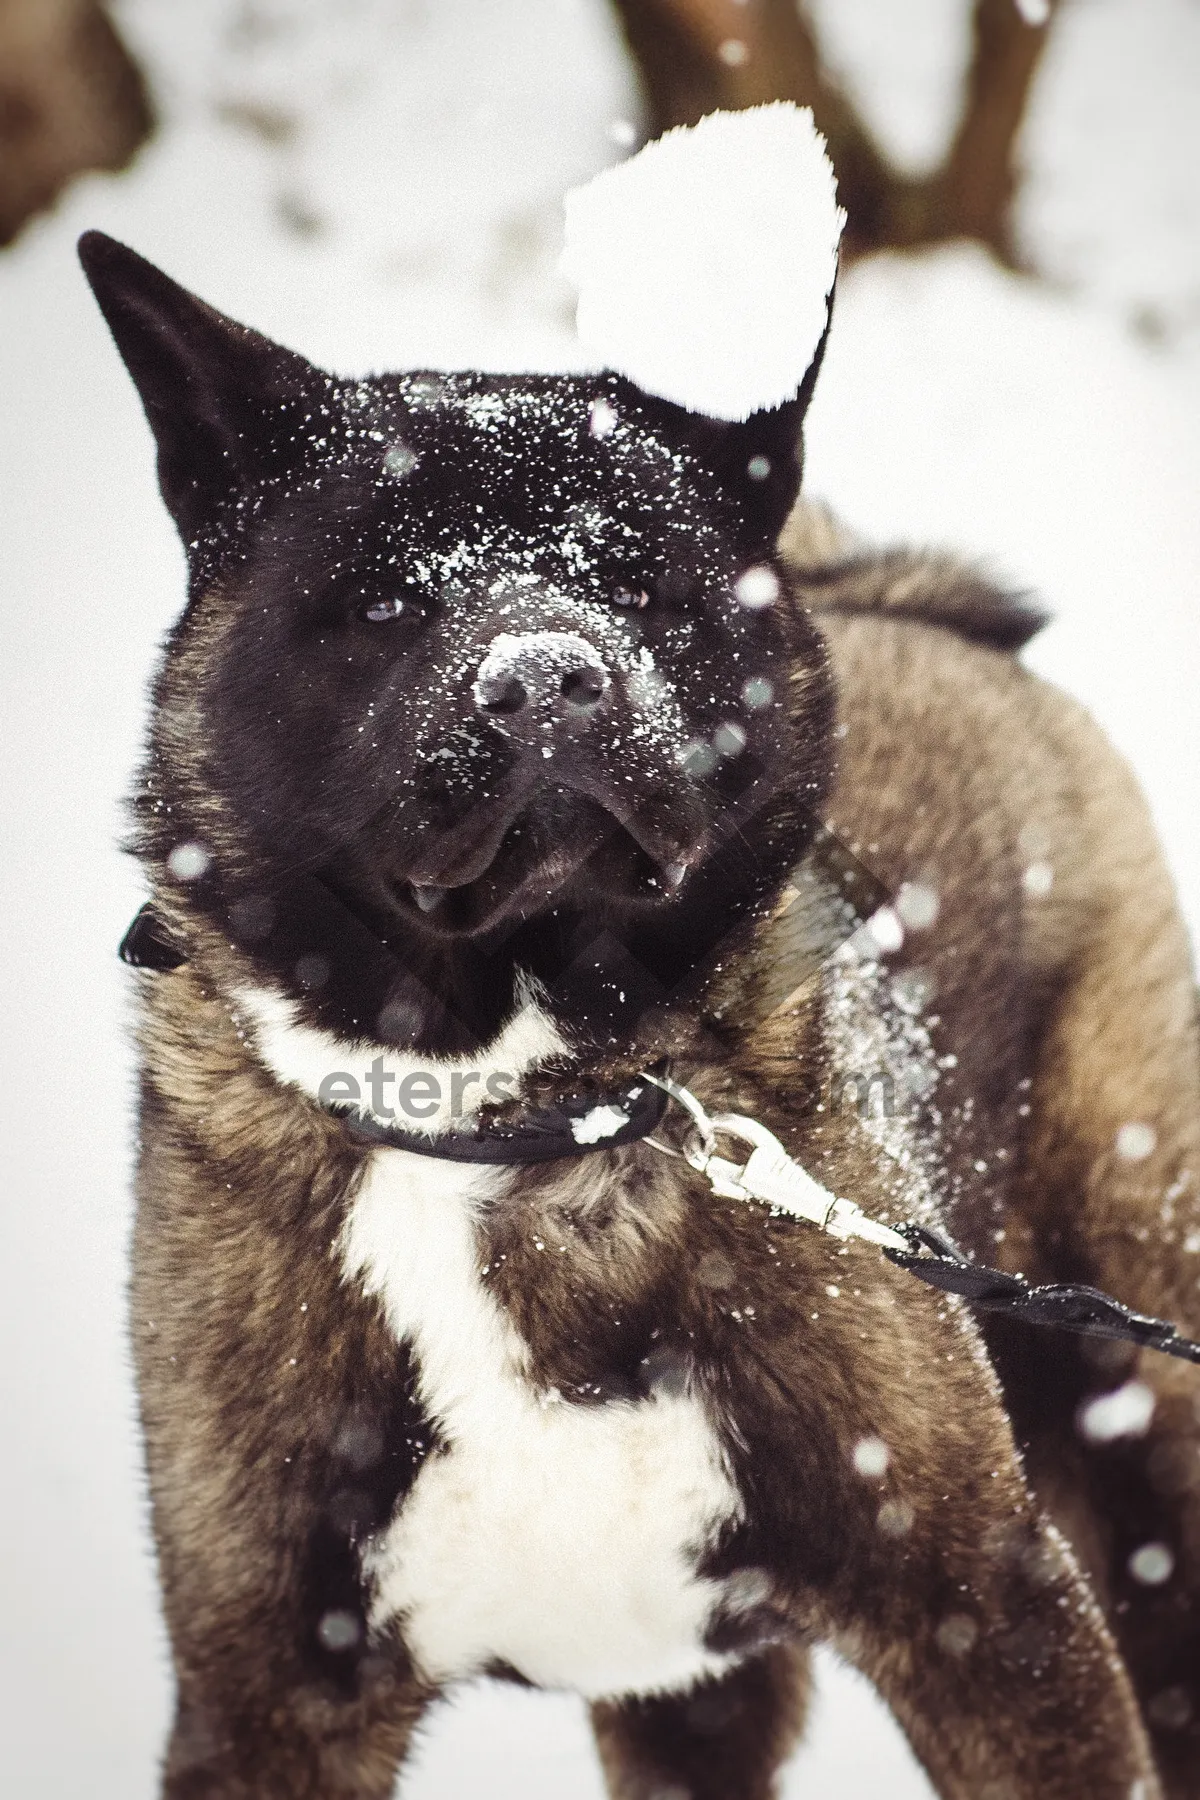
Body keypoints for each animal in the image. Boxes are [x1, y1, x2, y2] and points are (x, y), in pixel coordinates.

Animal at [82, 228, 1200, 1800]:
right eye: (384, 602)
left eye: (642, 580)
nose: (549, 675)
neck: (506, 1120)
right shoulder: (268, 1698)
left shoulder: (989, 1608)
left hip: (1136, 1410)